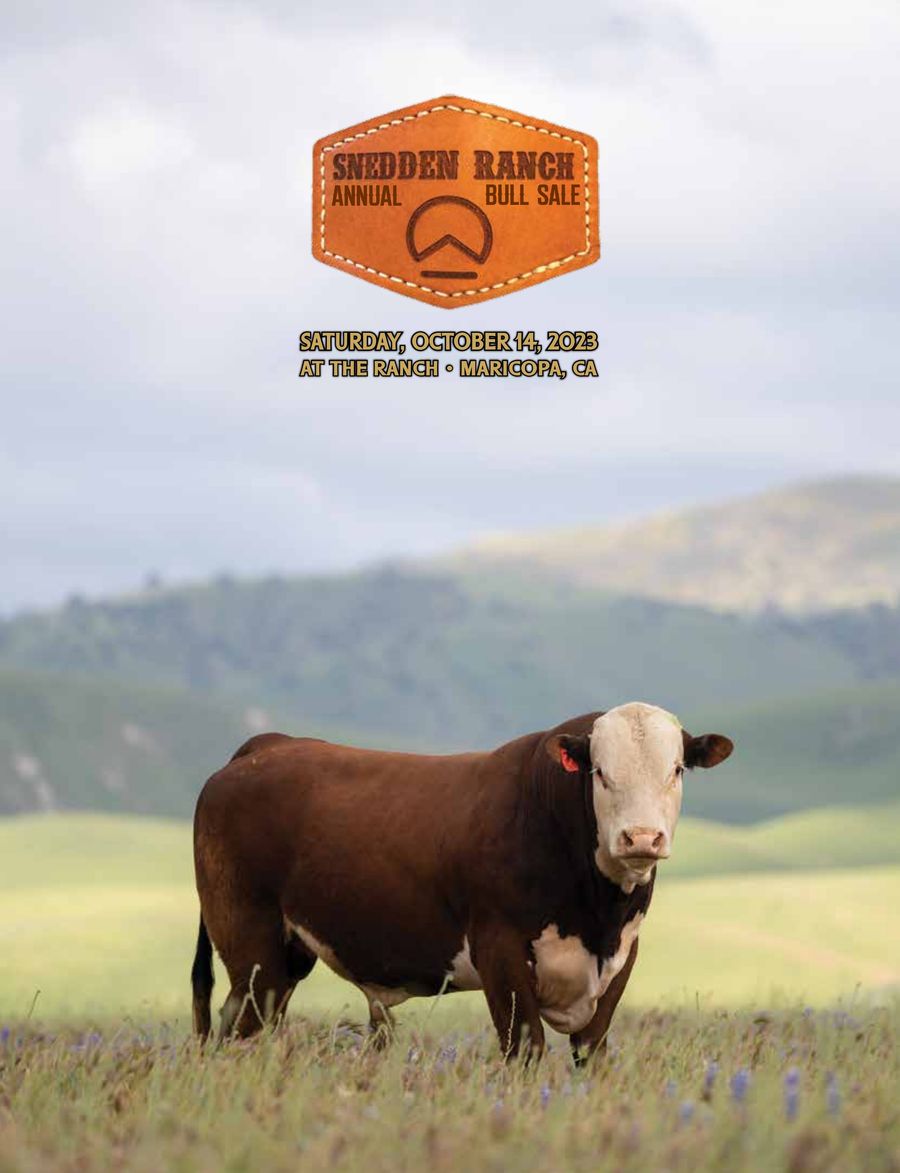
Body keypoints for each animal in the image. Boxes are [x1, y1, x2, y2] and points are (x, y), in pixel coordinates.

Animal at [191, 703, 733, 1061]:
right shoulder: (500, 950)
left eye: (677, 769)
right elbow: (525, 1047)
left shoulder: (619, 960)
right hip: (251, 947)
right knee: (240, 1030)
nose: (641, 837)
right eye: (599, 771)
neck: (596, 914)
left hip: (288, 955)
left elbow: (591, 1052)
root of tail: (268, 745)